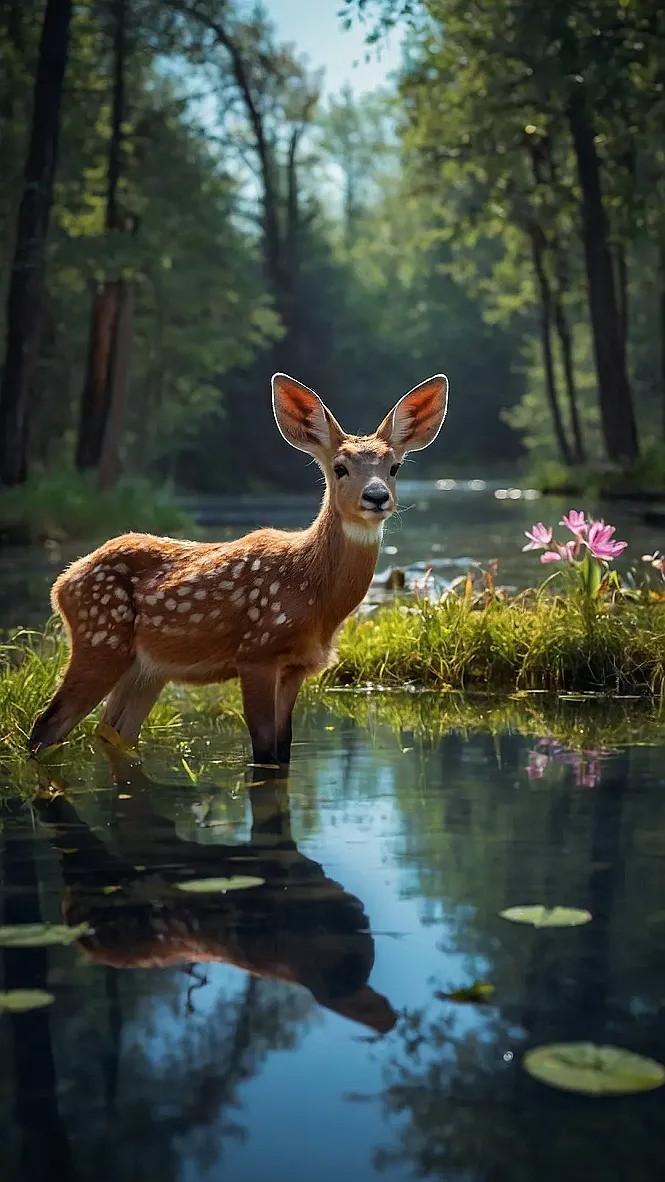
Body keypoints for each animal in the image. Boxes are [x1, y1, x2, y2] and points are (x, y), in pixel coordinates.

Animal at [29, 370, 449, 766]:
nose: (376, 496)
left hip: (146, 668)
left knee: (111, 732)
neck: (312, 591)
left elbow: (283, 751)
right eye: (340, 467)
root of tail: (62, 582)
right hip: (100, 637)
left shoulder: (296, 666)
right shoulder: (257, 652)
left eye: (394, 467)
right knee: (47, 725)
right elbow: (263, 752)